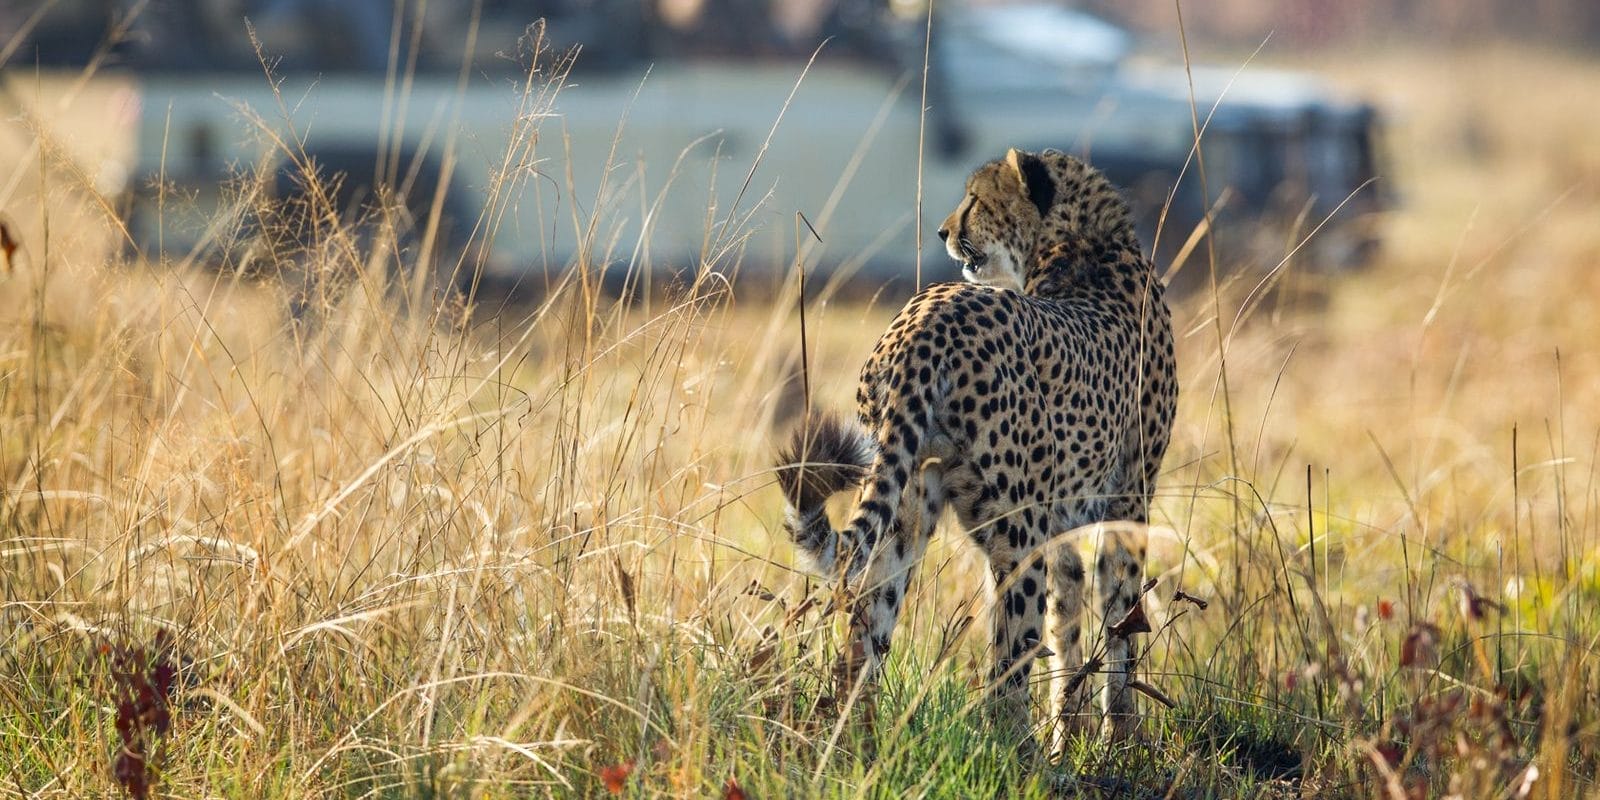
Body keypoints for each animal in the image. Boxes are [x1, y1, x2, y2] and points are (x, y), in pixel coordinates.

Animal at [775, 148, 1177, 753]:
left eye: (976, 199)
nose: (944, 231)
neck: (1077, 243)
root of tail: (925, 318)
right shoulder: (1126, 499)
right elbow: (1119, 626)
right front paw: (1118, 743)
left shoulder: (1064, 517)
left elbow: (1069, 624)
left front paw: (1072, 734)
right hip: (1016, 533)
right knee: (1008, 664)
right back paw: (1019, 754)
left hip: (905, 506)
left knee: (865, 635)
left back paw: (854, 743)